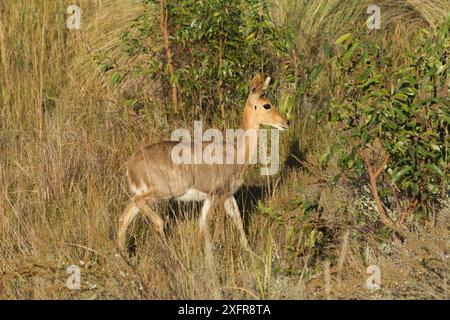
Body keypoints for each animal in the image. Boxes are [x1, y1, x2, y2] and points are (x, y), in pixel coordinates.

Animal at [118, 74, 290, 256]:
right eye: (267, 105)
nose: (286, 122)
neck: (237, 151)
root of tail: (130, 165)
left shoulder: (226, 194)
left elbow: (234, 220)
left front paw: (251, 252)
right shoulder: (216, 194)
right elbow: (208, 224)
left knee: (124, 217)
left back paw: (125, 256)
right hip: (165, 191)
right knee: (141, 209)